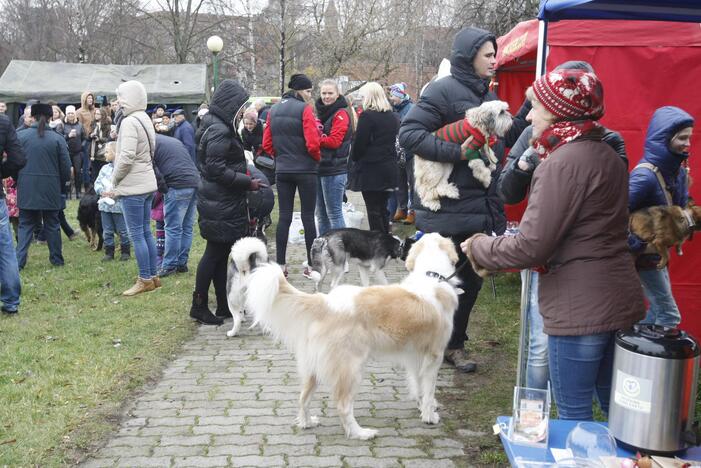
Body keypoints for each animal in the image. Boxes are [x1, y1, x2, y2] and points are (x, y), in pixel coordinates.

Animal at [238, 233, 462, 438]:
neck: (432, 275)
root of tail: (324, 302)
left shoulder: (414, 355)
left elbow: (419, 385)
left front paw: (422, 406)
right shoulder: (434, 356)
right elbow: (429, 389)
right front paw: (429, 416)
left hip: (315, 367)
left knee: (303, 398)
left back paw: (307, 423)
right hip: (351, 369)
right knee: (343, 406)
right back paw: (360, 433)